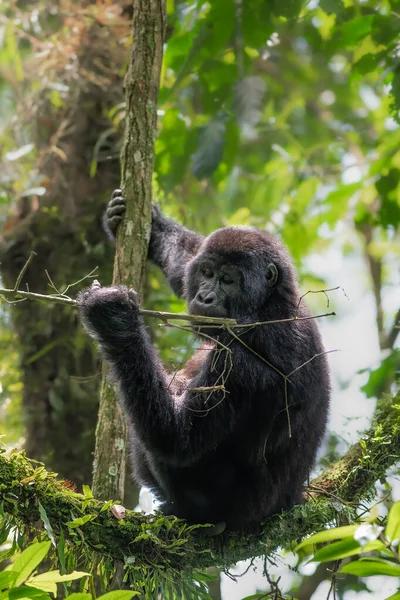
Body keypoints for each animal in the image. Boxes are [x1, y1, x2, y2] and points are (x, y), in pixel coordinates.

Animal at [77, 190, 328, 532]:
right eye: (207, 274)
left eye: (228, 280)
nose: (205, 297)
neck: (268, 304)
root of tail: (288, 502)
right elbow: (184, 264)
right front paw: (150, 223)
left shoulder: (240, 363)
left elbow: (176, 437)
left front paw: (115, 320)